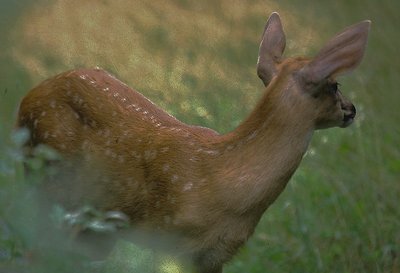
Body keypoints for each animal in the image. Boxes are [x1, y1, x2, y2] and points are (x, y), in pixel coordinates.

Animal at [17, 12, 370, 272]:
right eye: (335, 84)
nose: (351, 109)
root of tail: (27, 97)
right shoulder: (169, 239)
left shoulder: (215, 255)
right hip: (52, 185)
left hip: (96, 226)